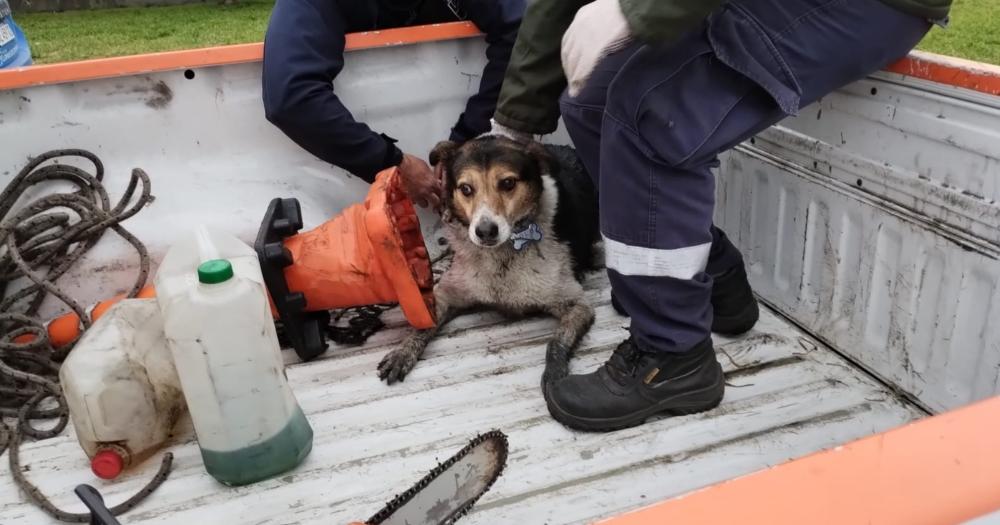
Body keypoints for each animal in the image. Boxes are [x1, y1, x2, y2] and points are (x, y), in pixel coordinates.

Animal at [378, 133, 600, 382]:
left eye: (508, 183)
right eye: (466, 188)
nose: (485, 231)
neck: (501, 255)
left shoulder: (577, 304)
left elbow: (556, 341)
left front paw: (555, 372)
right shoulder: (447, 293)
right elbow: (424, 325)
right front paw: (402, 352)